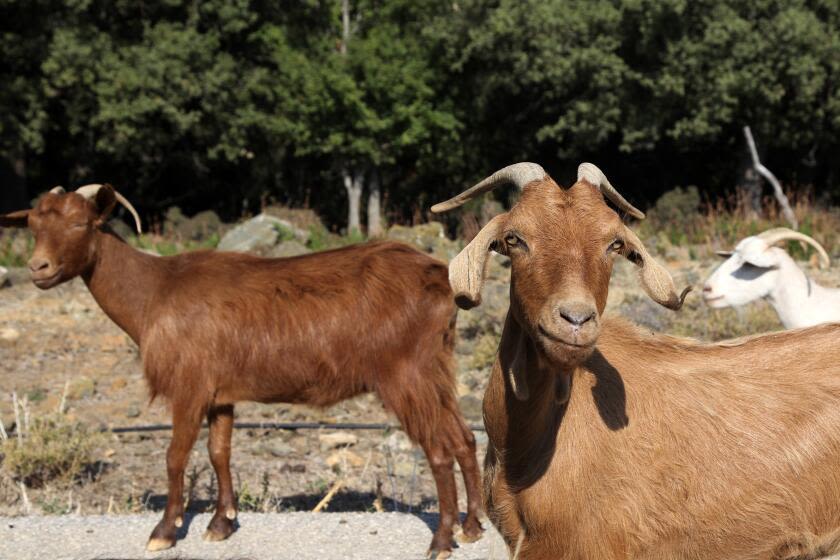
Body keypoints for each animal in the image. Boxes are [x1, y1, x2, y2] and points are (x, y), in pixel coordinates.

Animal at [3, 186, 482, 556]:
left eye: (82, 224)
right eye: (33, 226)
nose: (38, 269)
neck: (153, 293)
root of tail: (441, 278)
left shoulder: (190, 385)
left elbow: (175, 455)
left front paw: (164, 531)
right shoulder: (221, 394)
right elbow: (220, 452)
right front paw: (221, 523)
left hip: (406, 374)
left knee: (439, 450)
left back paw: (442, 541)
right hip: (435, 370)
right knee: (464, 438)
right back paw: (473, 527)